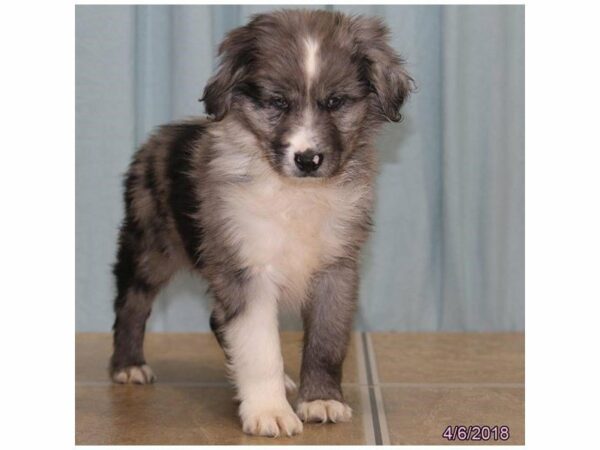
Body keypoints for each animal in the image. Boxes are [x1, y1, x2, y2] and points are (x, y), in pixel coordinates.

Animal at [110, 9, 412, 436]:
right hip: (150, 245)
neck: (296, 193)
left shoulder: (337, 268)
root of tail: (158, 138)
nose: (307, 159)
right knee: (131, 302)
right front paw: (269, 411)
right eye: (277, 102)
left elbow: (327, 340)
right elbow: (259, 346)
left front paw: (321, 399)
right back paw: (128, 366)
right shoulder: (245, 266)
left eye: (336, 102)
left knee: (214, 319)